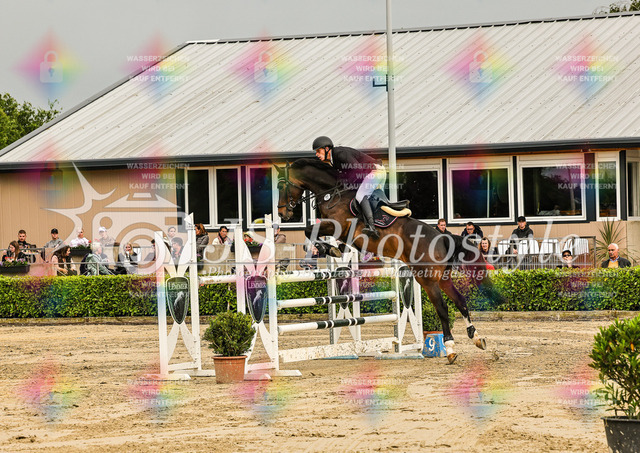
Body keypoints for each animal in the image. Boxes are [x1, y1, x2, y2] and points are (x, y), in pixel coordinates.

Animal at [276, 158, 497, 364]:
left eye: (280, 186)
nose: (282, 213)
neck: (333, 194)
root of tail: (442, 237)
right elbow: (323, 237)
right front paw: (332, 249)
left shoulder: (336, 226)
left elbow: (309, 230)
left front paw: (327, 248)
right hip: (442, 278)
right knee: (460, 301)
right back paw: (476, 338)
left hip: (426, 279)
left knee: (442, 308)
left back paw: (450, 349)